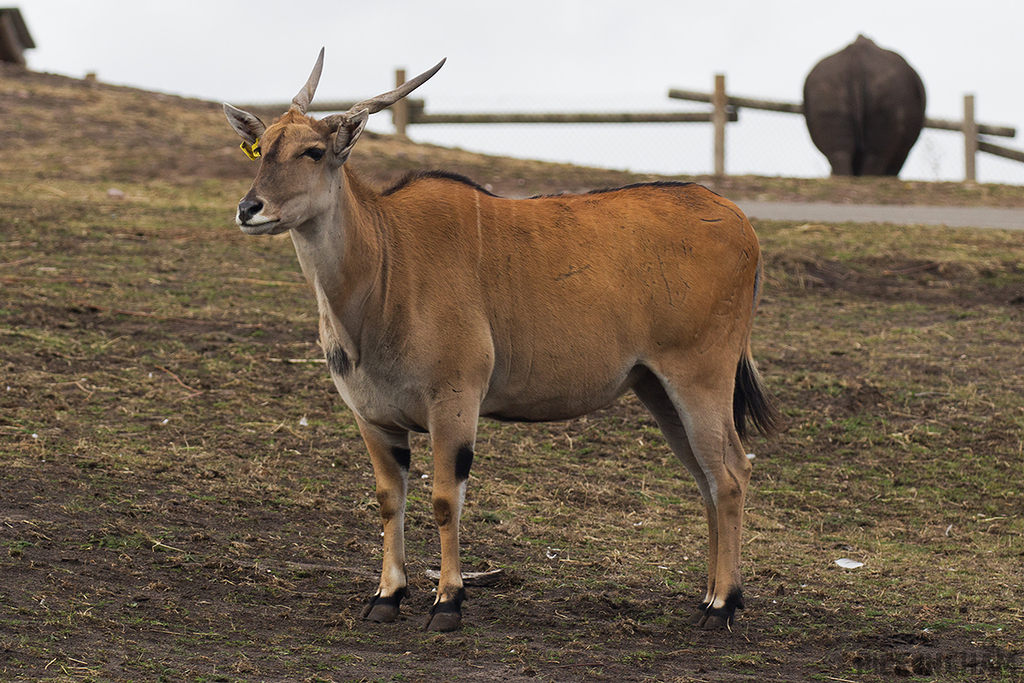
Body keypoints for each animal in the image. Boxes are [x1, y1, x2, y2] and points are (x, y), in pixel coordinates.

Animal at [223, 49, 778, 632]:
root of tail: (741, 223)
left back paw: (723, 604)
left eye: (312, 151)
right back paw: (709, 595)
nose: (249, 208)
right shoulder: (374, 418)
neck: (386, 261)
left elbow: (445, 499)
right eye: (261, 149)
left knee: (731, 473)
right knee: (706, 478)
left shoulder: (455, 401)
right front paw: (387, 596)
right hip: (657, 388)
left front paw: (447, 602)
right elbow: (389, 499)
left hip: (700, 378)